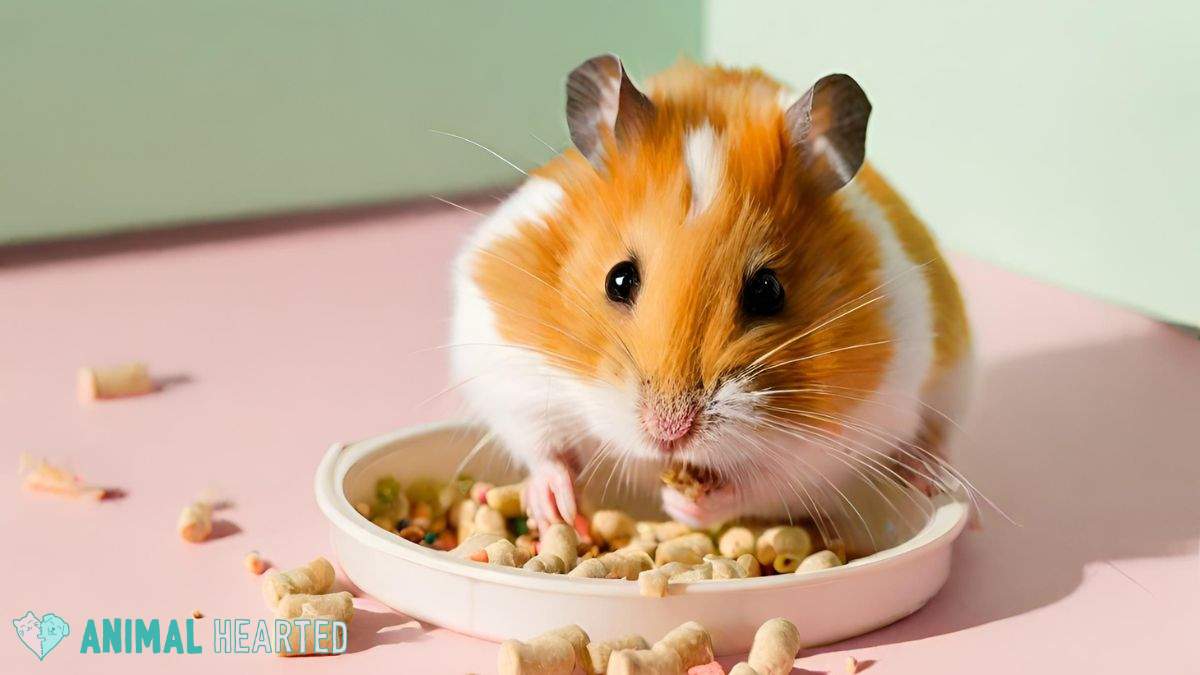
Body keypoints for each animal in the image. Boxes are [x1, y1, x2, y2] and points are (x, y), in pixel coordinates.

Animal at [451, 52, 974, 547]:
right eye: (618, 279)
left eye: (768, 291)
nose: (669, 433)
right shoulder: (506, 356)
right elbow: (542, 447)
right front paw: (557, 510)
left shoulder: (837, 441)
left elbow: (762, 486)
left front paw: (682, 505)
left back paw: (929, 476)